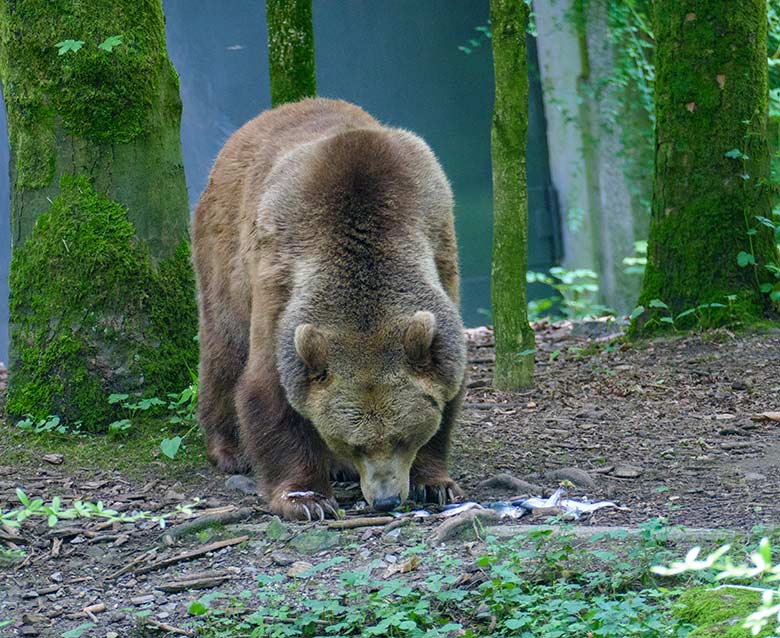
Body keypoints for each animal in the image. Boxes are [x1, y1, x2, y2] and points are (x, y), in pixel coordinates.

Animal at [192, 97, 466, 524]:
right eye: (355, 443)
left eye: (403, 438)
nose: (386, 499)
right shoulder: (281, 280)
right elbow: (268, 388)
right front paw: (305, 498)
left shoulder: (439, 245)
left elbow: (446, 384)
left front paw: (434, 482)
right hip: (224, 250)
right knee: (224, 348)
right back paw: (229, 450)